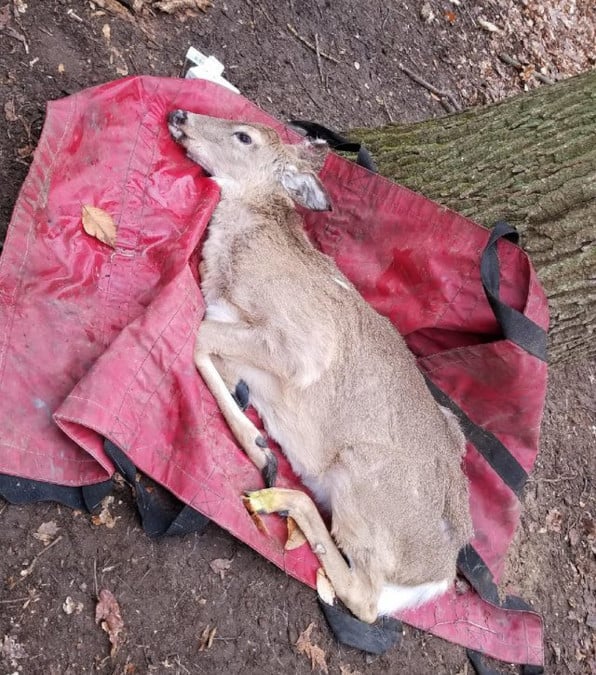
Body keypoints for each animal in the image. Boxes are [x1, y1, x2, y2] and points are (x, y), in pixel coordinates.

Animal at [166, 109, 470, 624]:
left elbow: (199, 335)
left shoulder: (302, 345)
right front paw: (252, 420)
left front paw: (258, 447)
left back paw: (276, 495)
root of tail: (438, 573)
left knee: (364, 599)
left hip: (361, 479)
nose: (179, 113)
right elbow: (214, 350)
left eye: (244, 136)